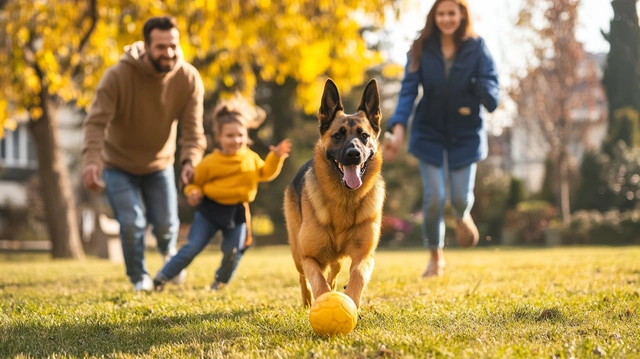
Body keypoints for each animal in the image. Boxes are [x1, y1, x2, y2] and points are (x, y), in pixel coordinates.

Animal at [284, 79, 384, 310]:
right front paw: (322, 301)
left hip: (336, 260)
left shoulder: (364, 255)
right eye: (338, 136)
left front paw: (351, 302)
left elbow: (357, 276)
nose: (354, 155)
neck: (344, 201)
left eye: (364, 136)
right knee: (304, 277)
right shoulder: (310, 257)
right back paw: (307, 301)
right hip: (297, 254)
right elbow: (318, 282)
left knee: (334, 273)